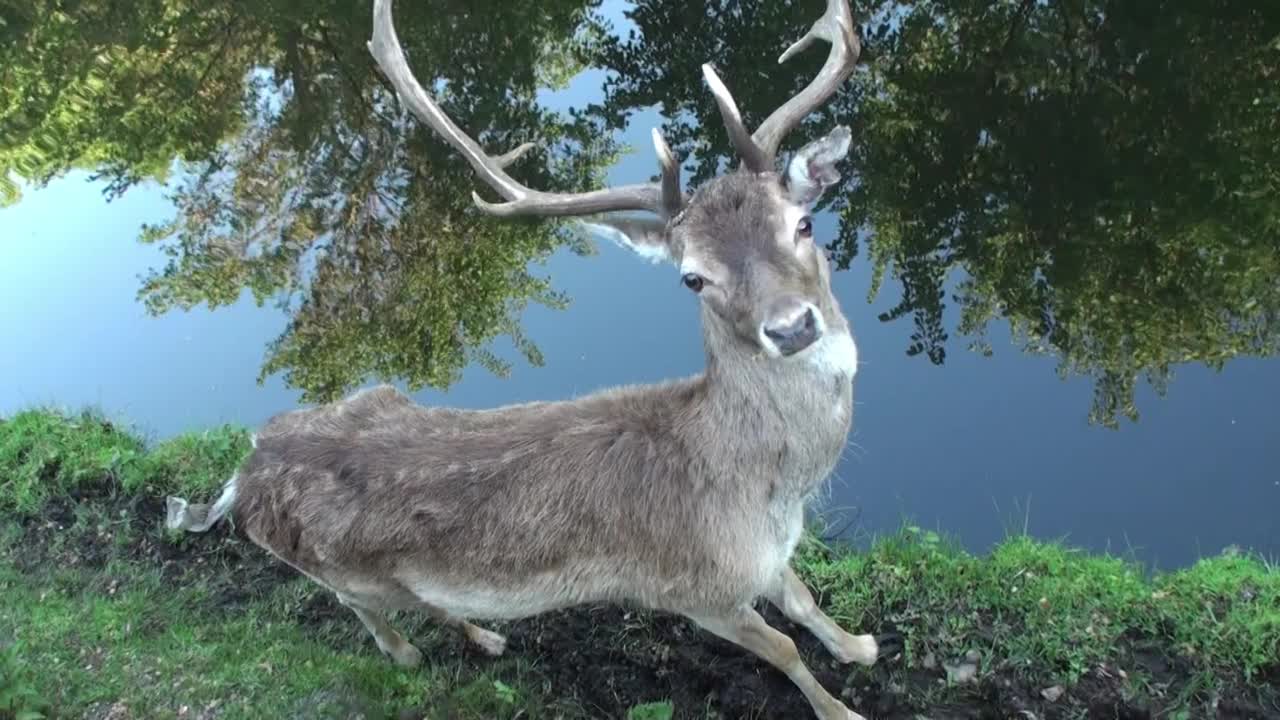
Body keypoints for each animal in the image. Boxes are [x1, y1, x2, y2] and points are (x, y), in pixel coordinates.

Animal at [165, 0, 896, 712]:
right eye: (693, 277)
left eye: (802, 224)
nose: (792, 327)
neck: (768, 492)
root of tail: (244, 472)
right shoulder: (695, 591)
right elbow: (783, 650)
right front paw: (843, 708)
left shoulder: (772, 556)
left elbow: (802, 601)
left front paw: (860, 646)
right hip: (339, 573)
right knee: (362, 606)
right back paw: (408, 653)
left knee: (427, 602)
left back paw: (486, 637)